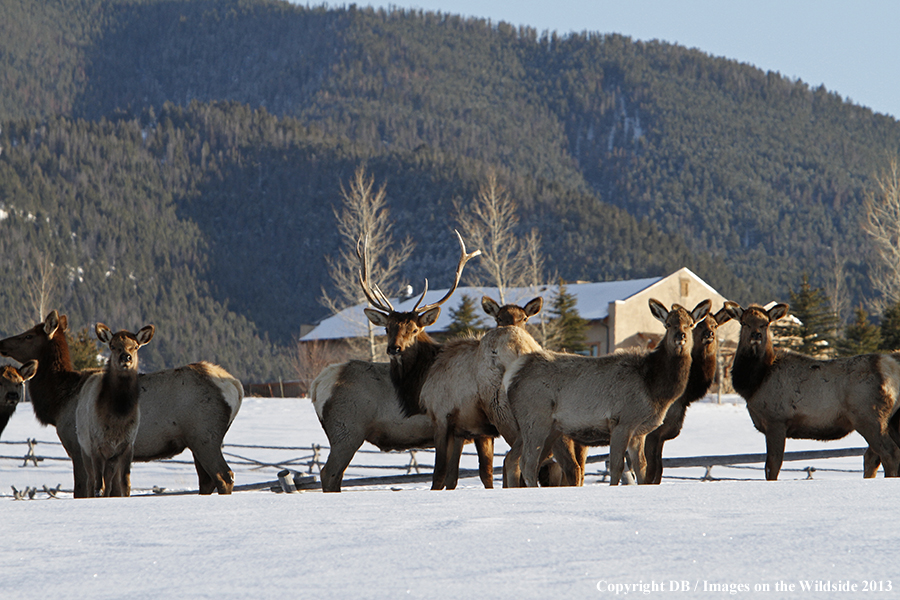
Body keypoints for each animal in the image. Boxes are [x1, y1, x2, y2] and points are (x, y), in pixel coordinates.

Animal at [78, 324, 156, 496]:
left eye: (135, 346)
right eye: (112, 346)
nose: (126, 357)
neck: (118, 417)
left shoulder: (126, 446)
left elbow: (125, 484)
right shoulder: (96, 445)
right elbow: (98, 486)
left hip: (111, 460)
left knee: (108, 483)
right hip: (84, 449)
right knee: (91, 481)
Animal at [502, 298, 708, 486]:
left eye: (690, 324)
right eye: (668, 324)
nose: (680, 336)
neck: (654, 389)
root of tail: (514, 375)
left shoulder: (639, 432)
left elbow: (641, 469)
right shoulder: (622, 422)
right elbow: (617, 467)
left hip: (546, 428)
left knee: (514, 459)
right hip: (535, 419)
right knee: (527, 463)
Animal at [724, 302, 900, 480]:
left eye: (765, 323)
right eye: (744, 322)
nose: (756, 335)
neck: (755, 383)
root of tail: (890, 366)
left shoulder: (776, 420)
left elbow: (772, 467)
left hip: (869, 417)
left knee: (889, 453)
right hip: (887, 421)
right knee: (873, 456)